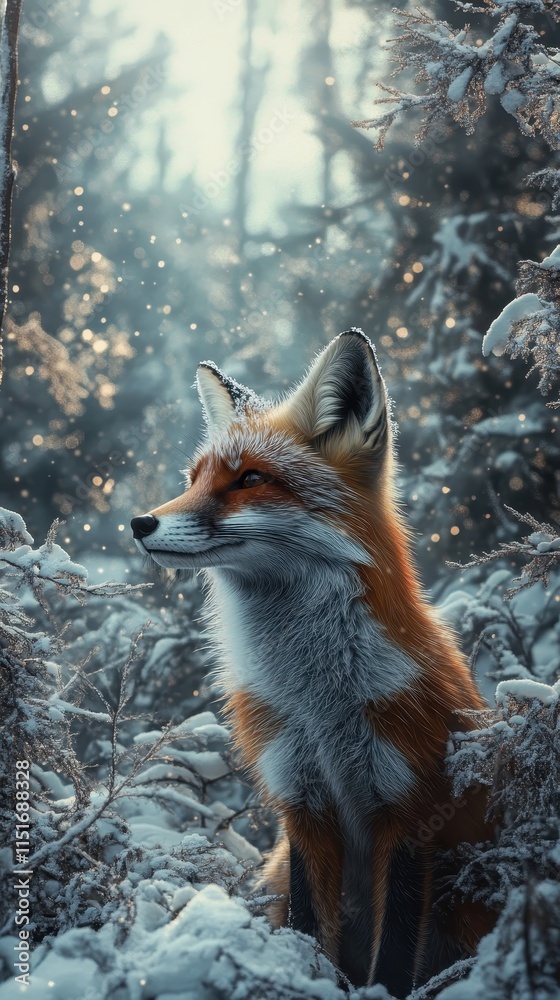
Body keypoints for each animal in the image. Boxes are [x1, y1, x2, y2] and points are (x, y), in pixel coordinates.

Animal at [131, 329, 494, 996]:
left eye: (250, 478)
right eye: (193, 478)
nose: (141, 523)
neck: (322, 704)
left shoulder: (411, 811)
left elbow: (394, 954)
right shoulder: (300, 803)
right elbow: (307, 928)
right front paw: (301, 976)